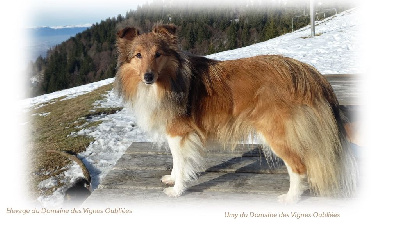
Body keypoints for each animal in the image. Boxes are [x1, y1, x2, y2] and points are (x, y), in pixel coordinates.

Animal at [114, 23, 358, 203]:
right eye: (138, 55)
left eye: (158, 54)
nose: (148, 77)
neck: (169, 80)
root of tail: (309, 74)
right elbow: (176, 161)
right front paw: (172, 178)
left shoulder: (179, 133)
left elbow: (181, 162)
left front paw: (177, 189)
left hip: (277, 133)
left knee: (299, 167)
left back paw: (290, 198)